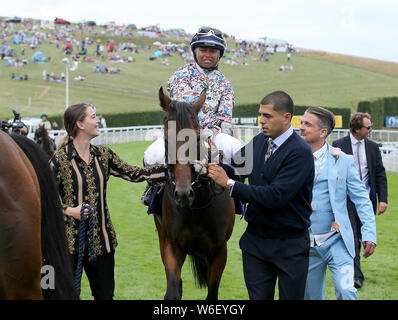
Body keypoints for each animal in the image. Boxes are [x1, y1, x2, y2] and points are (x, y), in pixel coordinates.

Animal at [155, 87, 236, 300]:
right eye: (166, 138)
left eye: (197, 137)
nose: (183, 194)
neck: (197, 208)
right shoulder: (172, 246)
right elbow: (173, 291)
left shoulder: (219, 250)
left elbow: (212, 293)